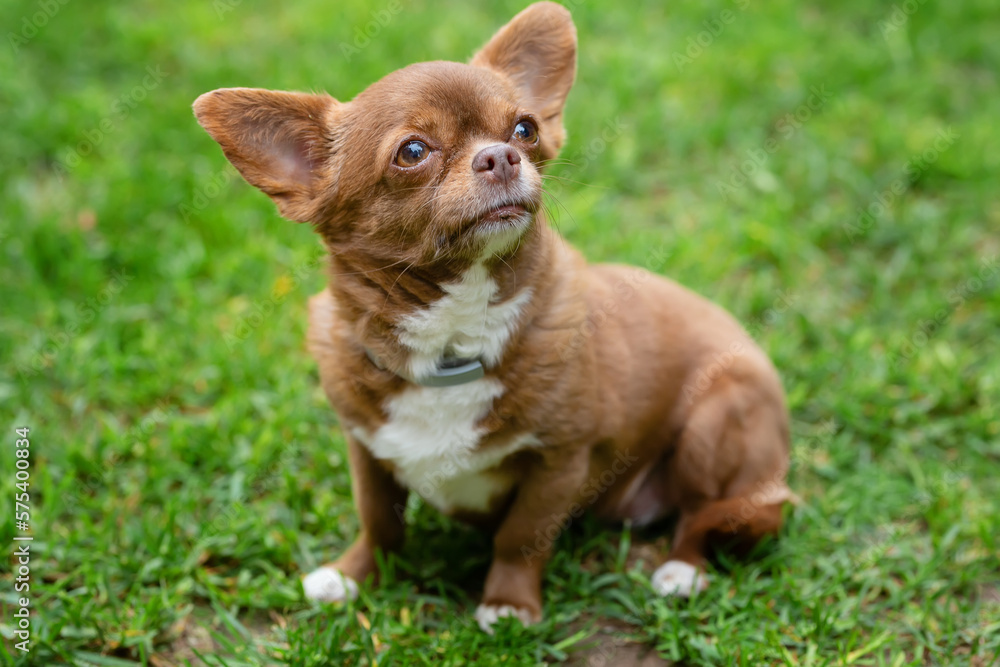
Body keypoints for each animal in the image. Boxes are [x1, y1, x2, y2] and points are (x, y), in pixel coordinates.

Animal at [193, 2, 788, 636]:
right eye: (412, 151)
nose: (501, 155)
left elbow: (521, 536)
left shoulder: (560, 461)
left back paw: (681, 570)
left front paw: (509, 604)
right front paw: (352, 576)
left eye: (525, 129)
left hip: (716, 420)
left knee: (706, 515)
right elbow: (379, 522)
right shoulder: (366, 449)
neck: (452, 347)